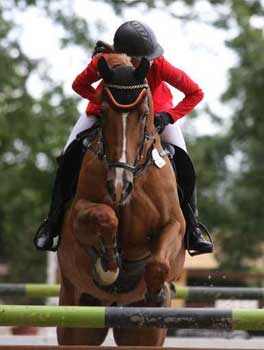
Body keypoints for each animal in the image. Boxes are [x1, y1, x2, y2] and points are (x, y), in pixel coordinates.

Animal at [57, 54, 186, 348]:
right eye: (103, 113)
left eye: (144, 114)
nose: (118, 186)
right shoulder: (77, 214)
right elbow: (105, 216)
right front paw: (108, 266)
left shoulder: (175, 225)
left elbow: (159, 263)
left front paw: (156, 292)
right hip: (74, 317)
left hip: (141, 336)